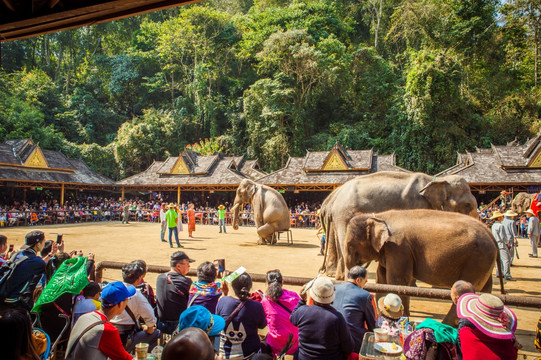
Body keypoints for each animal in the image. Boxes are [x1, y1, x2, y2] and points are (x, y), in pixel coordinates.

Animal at [344, 208, 496, 324]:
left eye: (351, 245)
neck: (379, 216)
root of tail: (490, 233)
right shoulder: (390, 251)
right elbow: (381, 279)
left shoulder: (398, 248)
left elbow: (397, 282)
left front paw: (401, 318)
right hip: (484, 264)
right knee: (484, 292)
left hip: (477, 261)